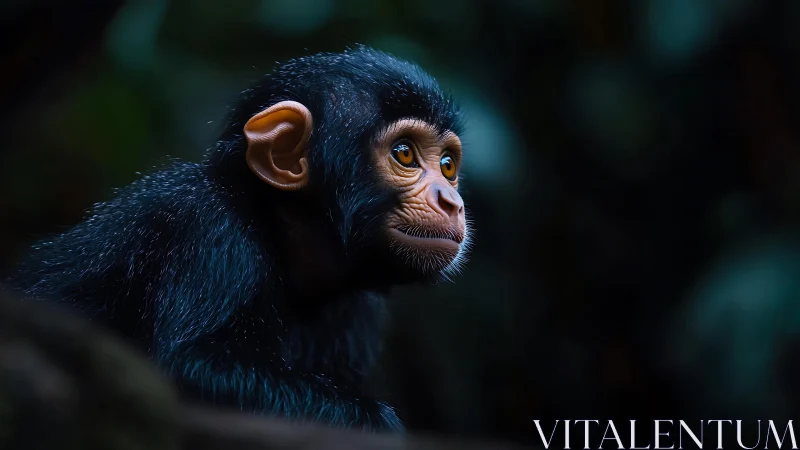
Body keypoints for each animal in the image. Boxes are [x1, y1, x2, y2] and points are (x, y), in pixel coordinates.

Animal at [8, 46, 471, 432]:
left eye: (448, 165)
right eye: (405, 154)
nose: (451, 200)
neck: (280, 232)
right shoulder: (210, 230)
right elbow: (191, 366)